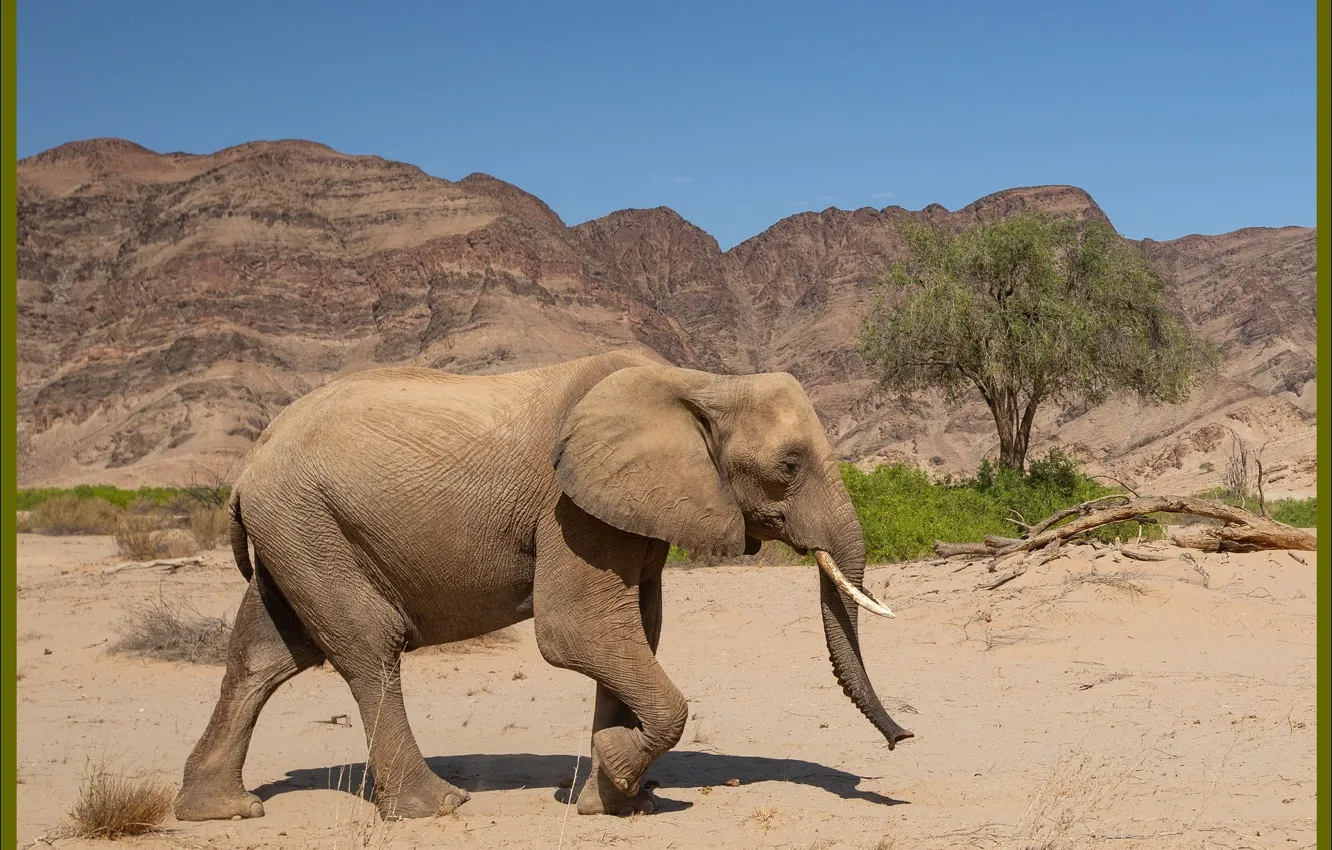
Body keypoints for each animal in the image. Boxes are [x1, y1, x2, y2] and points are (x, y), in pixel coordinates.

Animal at [173, 349, 912, 822]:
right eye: (788, 466)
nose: (902, 741)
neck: (699, 382)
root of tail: (252, 460)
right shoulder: (568, 508)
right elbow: (576, 631)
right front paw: (617, 774)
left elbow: (636, 628)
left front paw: (618, 803)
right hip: (307, 522)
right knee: (366, 646)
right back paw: (435, 807)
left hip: (296, 530)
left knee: (266, 654)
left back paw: (222, 811)